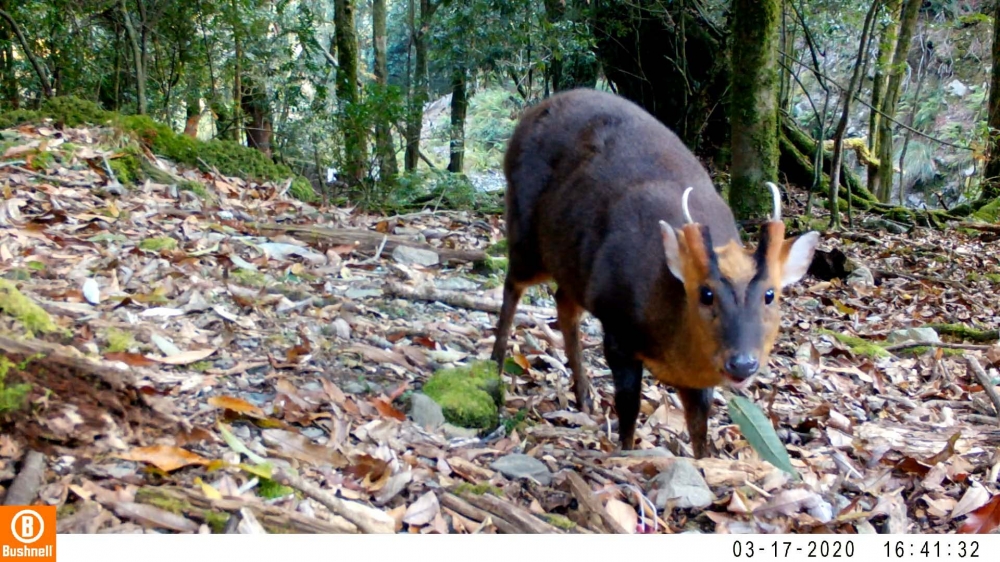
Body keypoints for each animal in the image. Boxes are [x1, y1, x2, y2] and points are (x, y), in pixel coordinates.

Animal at [488, 87, 816, 456]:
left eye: (770, 294)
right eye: (706, 293)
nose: (742, 364)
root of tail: (530, 114)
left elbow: (699, 426)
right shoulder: (617, 326)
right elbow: (629, 407)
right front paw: (626, 451)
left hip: (571, 262)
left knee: (563, 302)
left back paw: (584, 396)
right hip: (526, 232)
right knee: (512, 285)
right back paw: (495, 367)